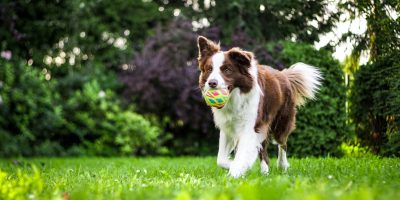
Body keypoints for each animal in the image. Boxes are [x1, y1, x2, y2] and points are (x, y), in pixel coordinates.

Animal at [196, 36, 322, 178]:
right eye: (209, 69)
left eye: (227, 70)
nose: (212, 83)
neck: (235, 98)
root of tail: (284, 75)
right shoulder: (228, 127)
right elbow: (221, 159)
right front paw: (237, 166)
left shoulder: (251, 126)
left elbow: (242, 154)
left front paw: (235, 172)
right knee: (264, 151)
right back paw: (265, 173)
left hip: (281, 122)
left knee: (282, 143)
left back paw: (282, 166)